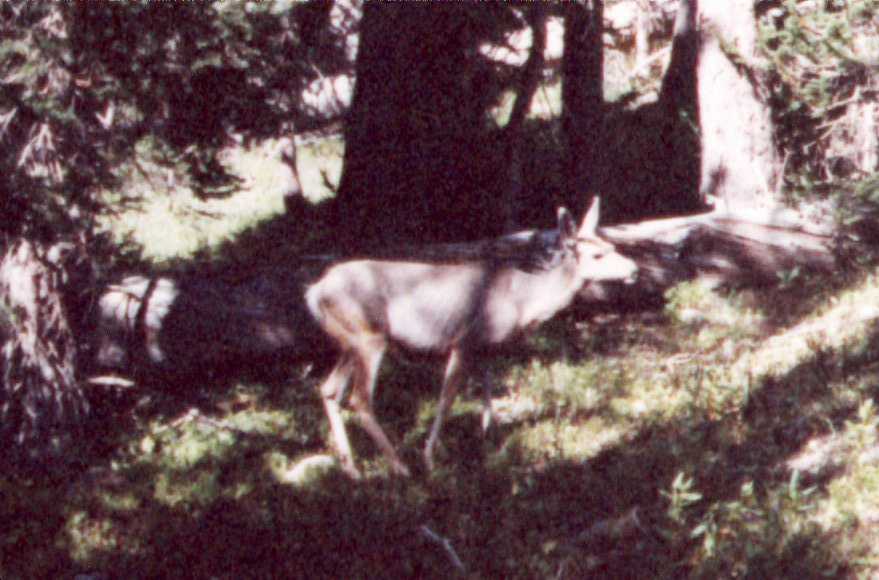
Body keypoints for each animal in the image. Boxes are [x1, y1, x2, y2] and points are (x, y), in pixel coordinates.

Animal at [305, 197, 638, 477]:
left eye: (612, 246)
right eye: (597, 255)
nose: (634, 269)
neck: (523, 300)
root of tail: (315, 291)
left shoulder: (487, 346)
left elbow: (487, 391)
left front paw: (491, 441)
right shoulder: (464, 340)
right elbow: (447, 398)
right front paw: (430, 456)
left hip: (350, 342)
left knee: (329, 389)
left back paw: (352, 469)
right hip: (369, 337)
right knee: (360, 399)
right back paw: (399, 467)